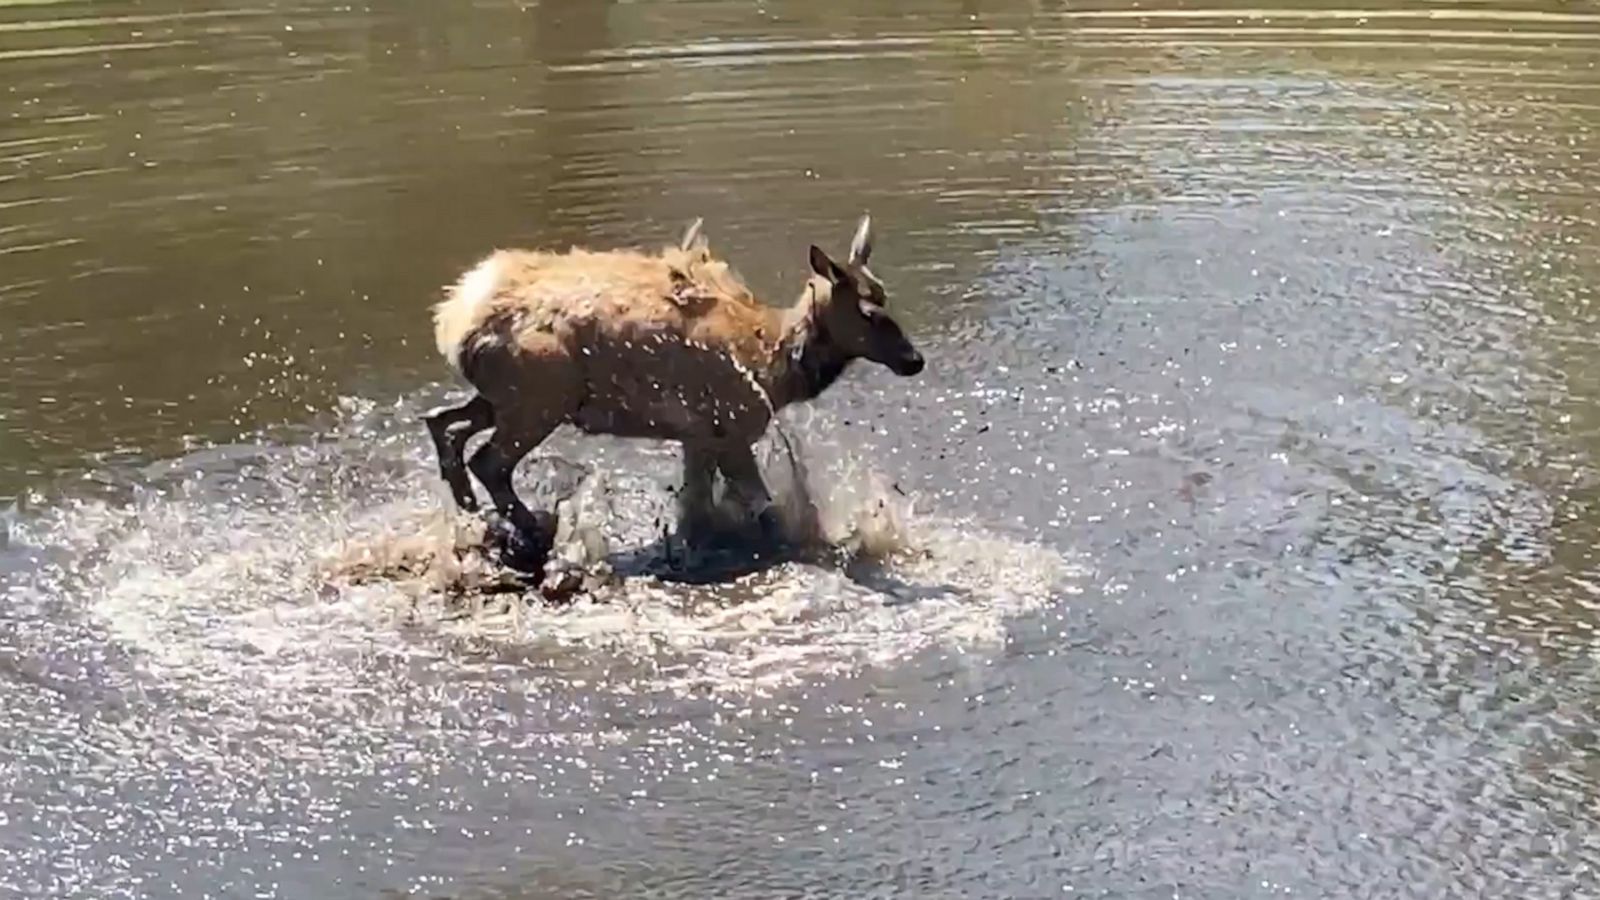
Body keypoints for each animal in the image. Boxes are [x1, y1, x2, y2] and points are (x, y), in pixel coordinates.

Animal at [422, 212, 928, 570]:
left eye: (885, 295)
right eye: (869, 314)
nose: (914, 360)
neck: (774, 366)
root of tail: (454, 326)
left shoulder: (697, 435)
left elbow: (696, 509)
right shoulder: (731, 429)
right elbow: (764, 508)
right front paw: (811, 545)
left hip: (504, 399)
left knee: (444, 425)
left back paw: (472, 516)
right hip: (539, 399)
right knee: (488, 460)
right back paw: (533, 529)